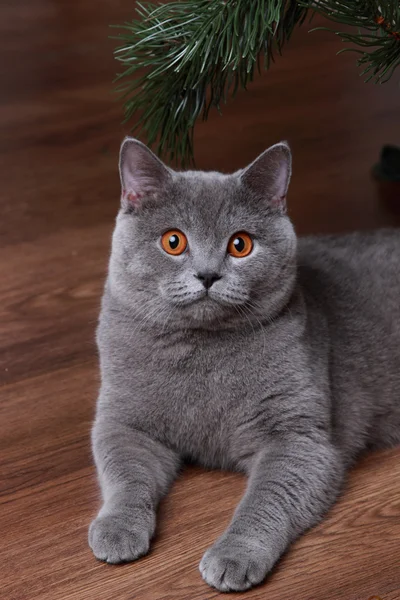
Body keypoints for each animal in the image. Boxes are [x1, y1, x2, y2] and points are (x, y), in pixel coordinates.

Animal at [88, 138, 400, 592]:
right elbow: (124, 473)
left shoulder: (299, 438)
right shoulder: (123, 420)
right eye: (173, 241)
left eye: (240, 245)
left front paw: (234, 556)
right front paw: (116, 528)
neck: (202, 351)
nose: (207, 275)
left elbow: (265, 500)